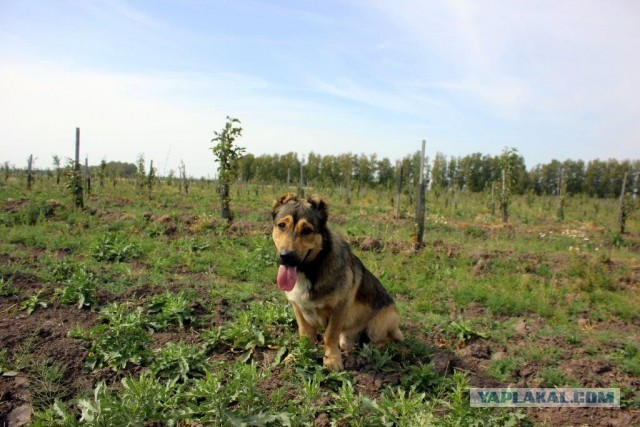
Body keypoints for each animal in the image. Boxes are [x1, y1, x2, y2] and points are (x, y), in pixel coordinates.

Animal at [272, 194, 402, 372]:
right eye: (281, 226)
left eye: (307, 230)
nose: (286, 256)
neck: (310, 270)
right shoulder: (298, 308)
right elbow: (305, 335)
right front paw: (298, 355)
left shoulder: (338, 310)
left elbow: (329, 336)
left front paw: (332, 360)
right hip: (347, 338)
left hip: (380, 325)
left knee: (387, 340)